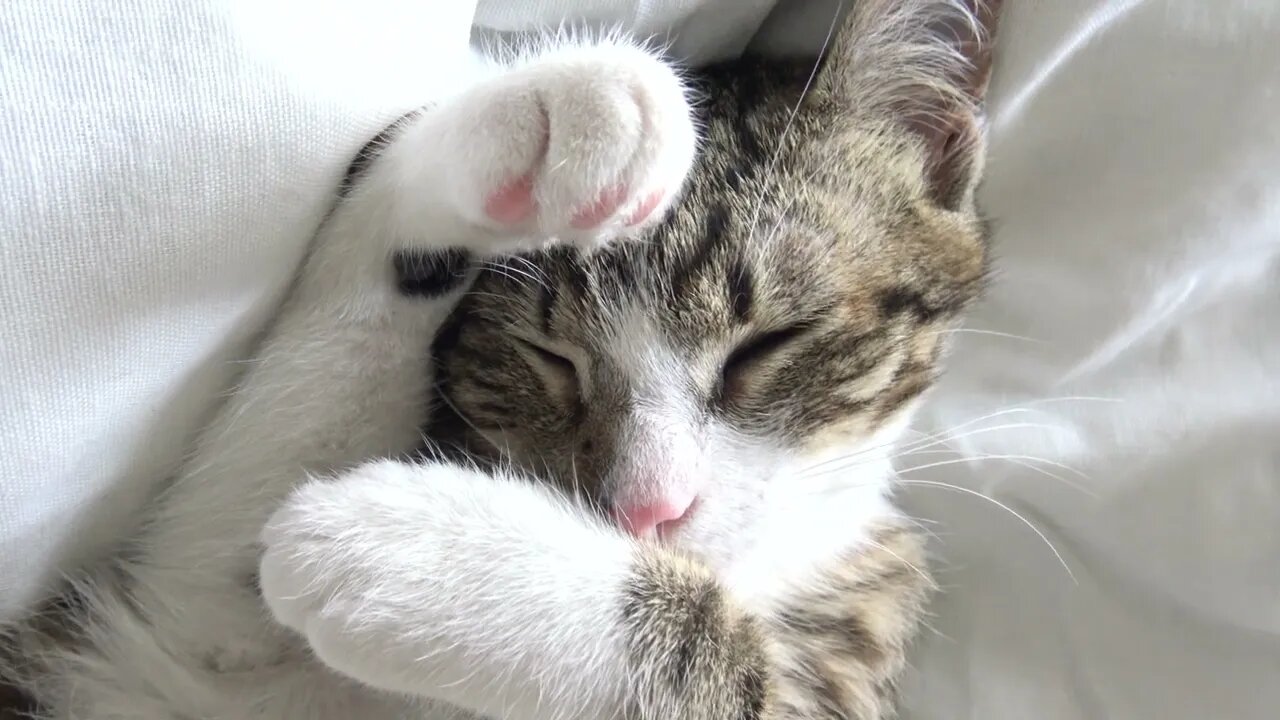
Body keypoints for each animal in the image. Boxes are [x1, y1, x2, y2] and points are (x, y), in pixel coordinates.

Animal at [0, 1, 998, 717]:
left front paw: (423, 556)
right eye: (546, 355)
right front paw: (547, 114)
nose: (645, 511)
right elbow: (220, 549)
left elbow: (736, 660)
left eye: (770, 343)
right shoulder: (186, 629)